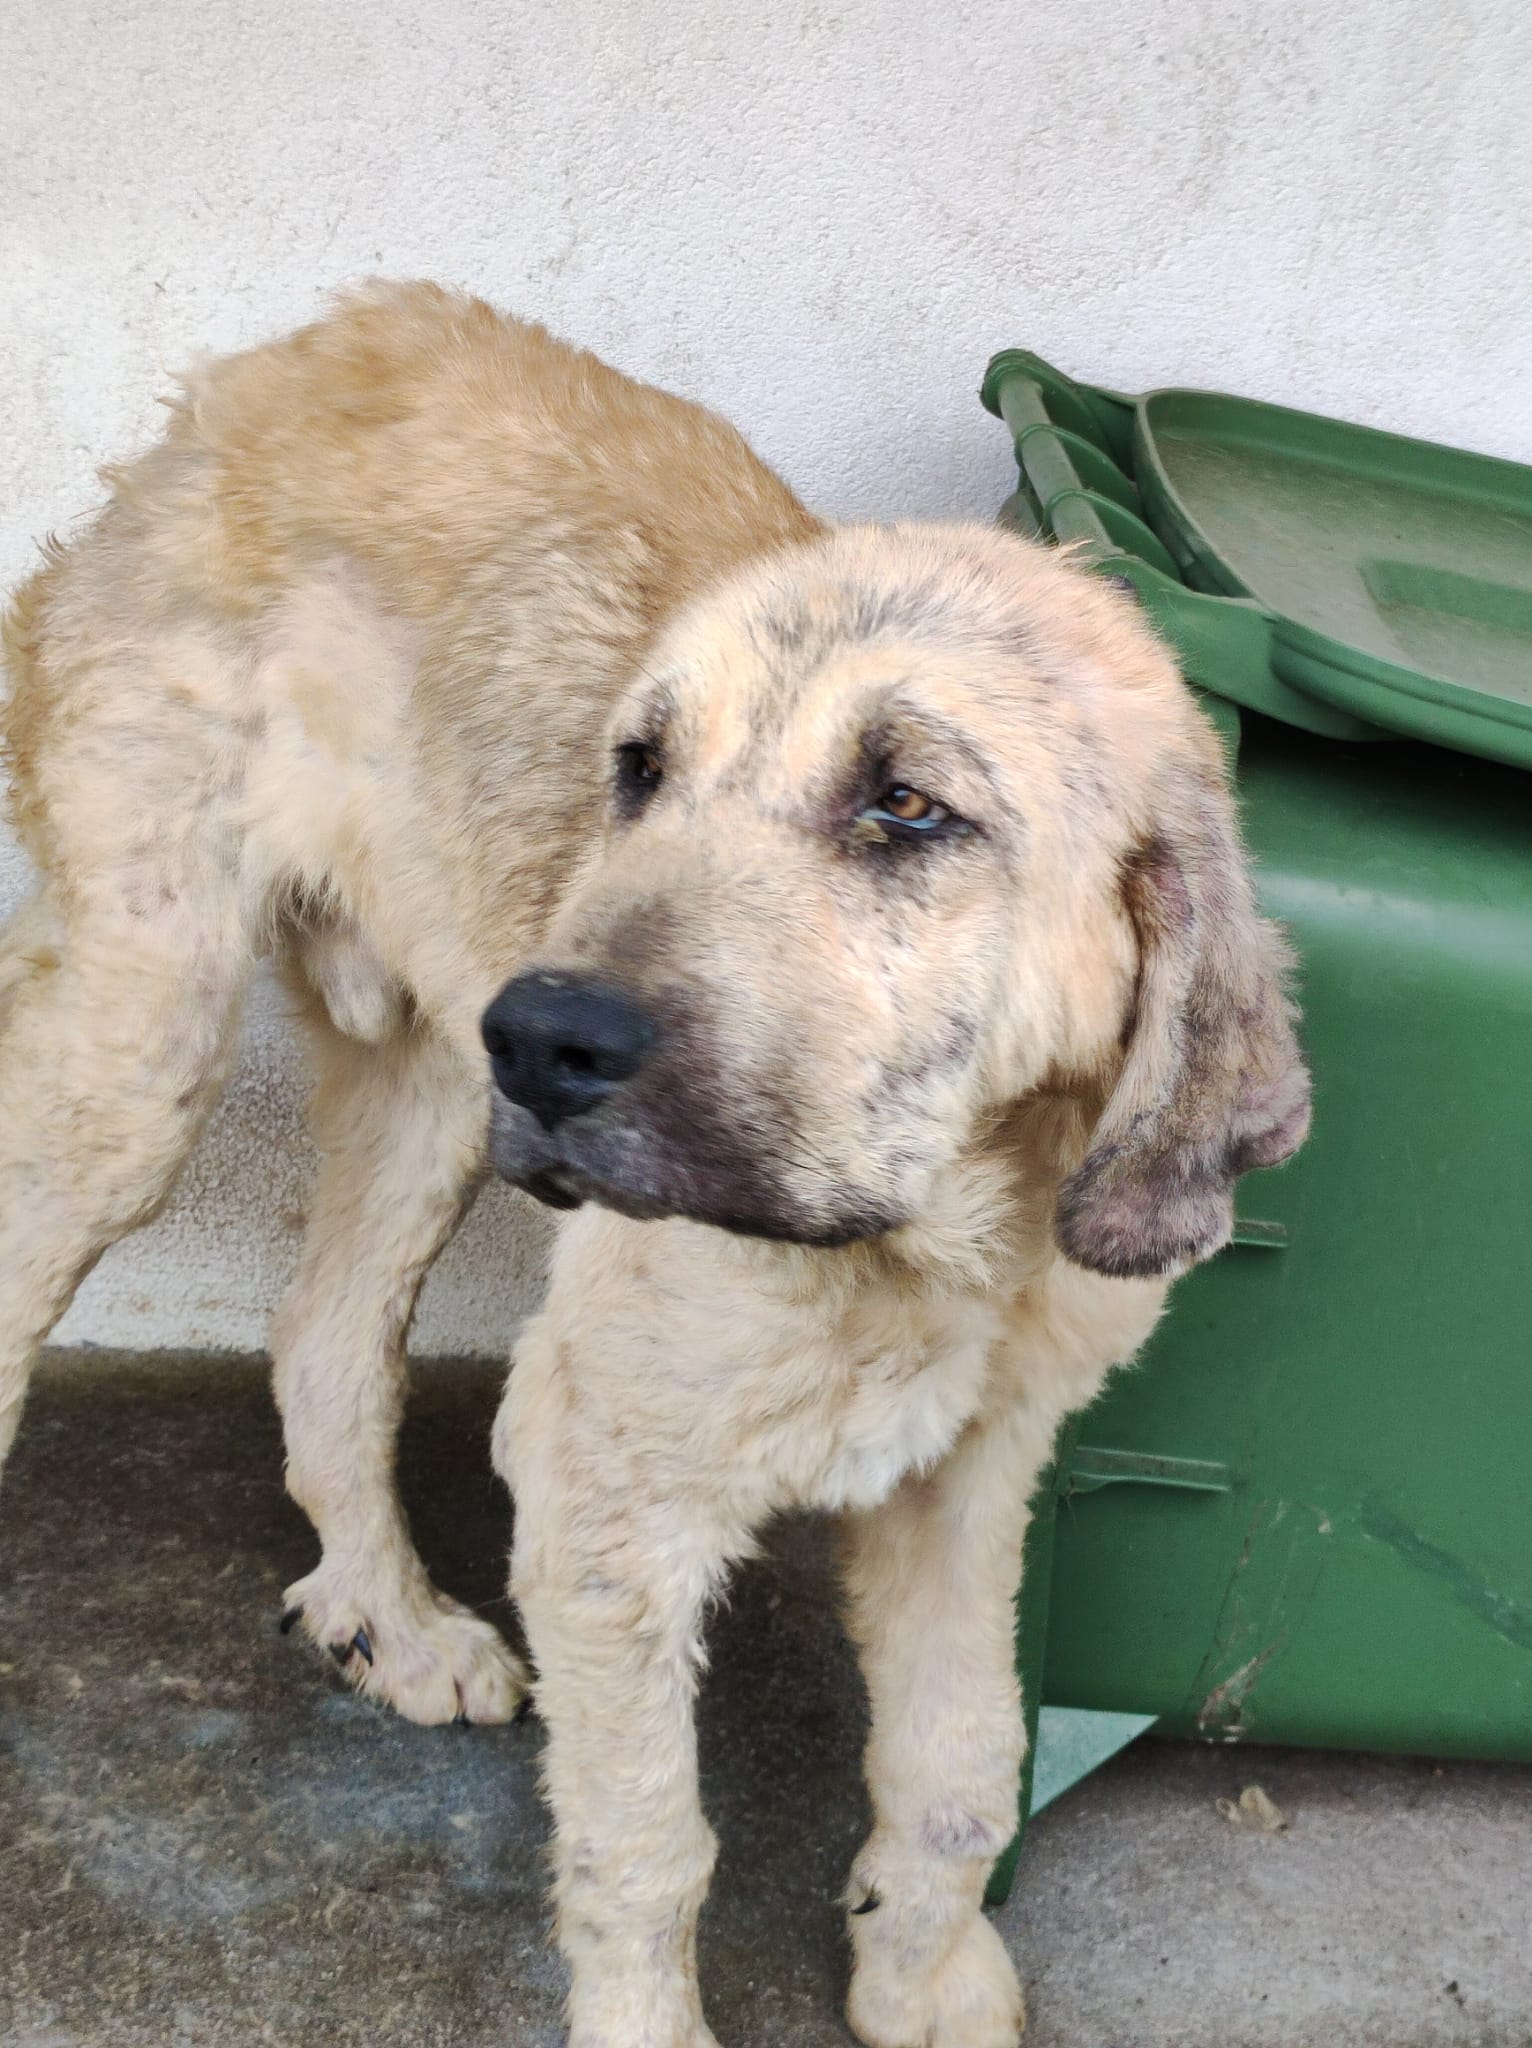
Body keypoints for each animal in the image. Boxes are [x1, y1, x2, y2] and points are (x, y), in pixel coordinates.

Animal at [1, 282, 1308, 2046]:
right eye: (638, 770)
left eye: (908, 806)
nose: (543, 1036)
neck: (927, 1234)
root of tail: (248, 373)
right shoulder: (604, 1484)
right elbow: (645, 1838)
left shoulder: (977, 1479)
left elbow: (966, 1757)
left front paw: (923, 1974)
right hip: (153, 1039)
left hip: (430, 1079)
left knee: (327, 1333)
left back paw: (387, 1616)